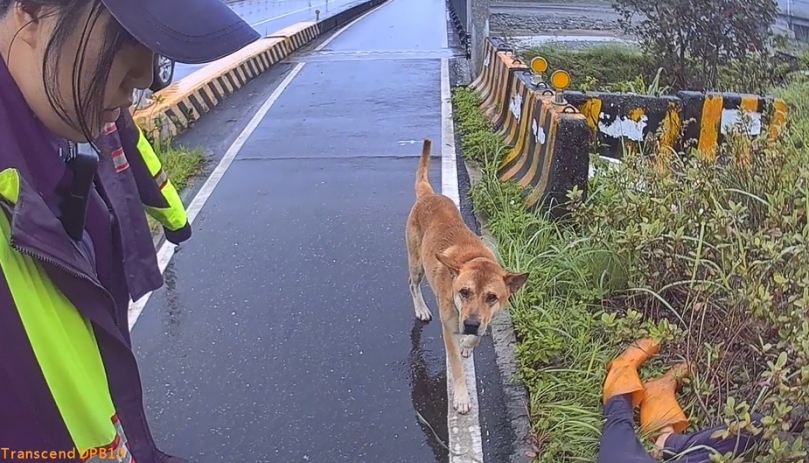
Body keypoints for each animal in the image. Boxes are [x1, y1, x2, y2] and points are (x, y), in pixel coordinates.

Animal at [404, 138, 532, 414]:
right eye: (464, 292)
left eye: (492, 297)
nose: (471, 324)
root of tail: (428, 194)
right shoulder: (449, 328)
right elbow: (457, 368)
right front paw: (462, 397)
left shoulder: (488, 319)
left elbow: (475, 339)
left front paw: (467, 345)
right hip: (416, 263)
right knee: (412, 284)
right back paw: (421, 308)